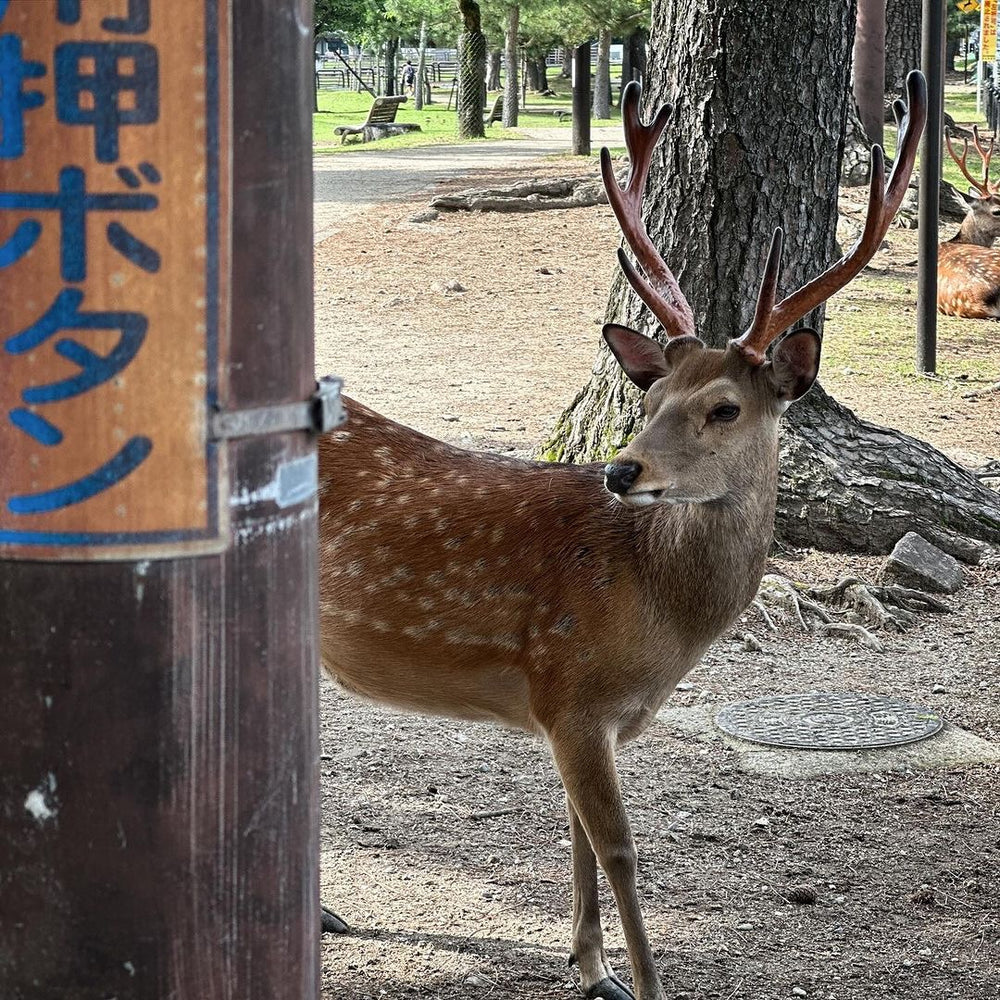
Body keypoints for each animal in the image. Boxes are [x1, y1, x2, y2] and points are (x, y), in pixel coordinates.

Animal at [317, 73, 926, 1000]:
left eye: (724, 407)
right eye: (652, 397)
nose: (619, 470)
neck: (660, 621)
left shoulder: (575, 714)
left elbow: (576, 835)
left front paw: (590, 964)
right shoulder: (570, 691)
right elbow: (621, 850)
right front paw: (644, 983)